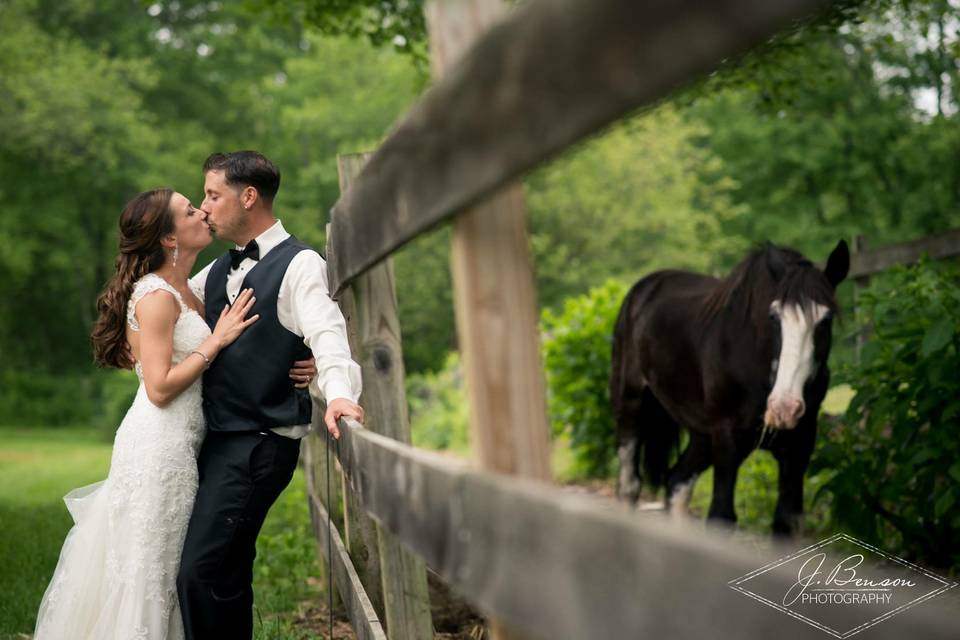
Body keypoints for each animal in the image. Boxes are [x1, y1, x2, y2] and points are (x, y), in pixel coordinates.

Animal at [612, 240, 852, 536]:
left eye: (825, 320)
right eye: (774, 317)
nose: (783, 408)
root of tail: (642, 289)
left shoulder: (798, 447)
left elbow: (786, 520)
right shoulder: (727, 441)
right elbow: (721, 516)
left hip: (702, 435)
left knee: (677, 484)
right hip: (632, 406)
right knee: (629, 485)